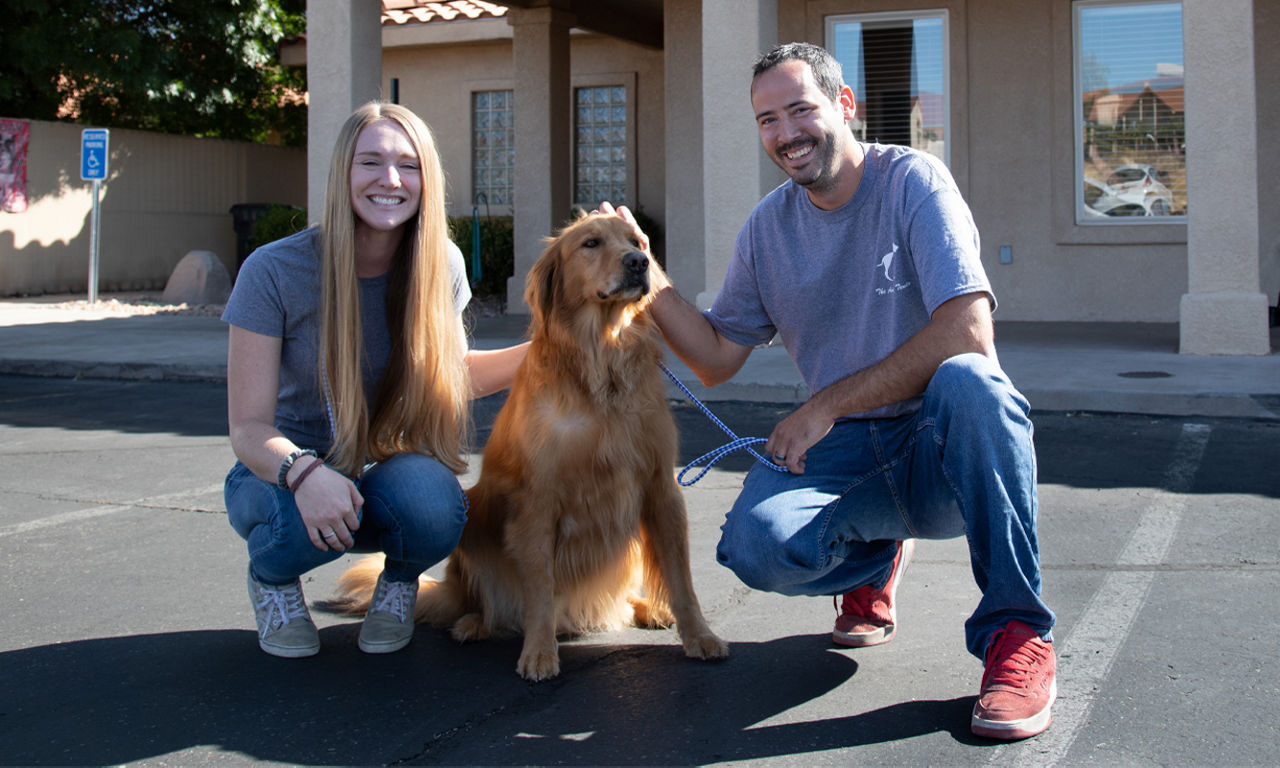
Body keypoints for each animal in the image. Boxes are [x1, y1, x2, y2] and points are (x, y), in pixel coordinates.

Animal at [332, 209, 732, 675]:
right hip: (473, 516)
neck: (602, 362)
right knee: (479, 602)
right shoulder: (539, 497)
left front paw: (700, 635)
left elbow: (681, 579)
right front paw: (539, 651)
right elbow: (539, 584)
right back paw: (475, 623)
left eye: (636, 241)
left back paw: (649, 608)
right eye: (591, 243)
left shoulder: (659, 487)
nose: (638, 263)